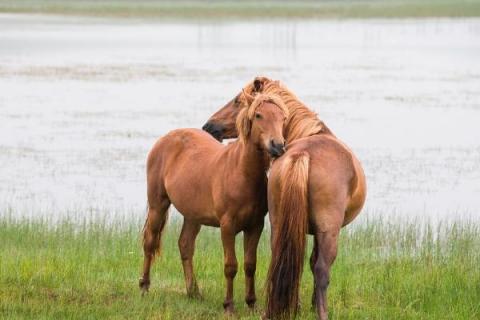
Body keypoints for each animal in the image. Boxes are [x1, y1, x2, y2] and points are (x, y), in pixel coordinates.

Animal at [139, 92, 288, 312]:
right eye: (259, 115)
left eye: (283, 118)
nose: (278, 146)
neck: (241, 172)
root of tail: (166, 138)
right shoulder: (227, 226)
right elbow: (231, 266)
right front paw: (229, 305)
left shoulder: (255, 226)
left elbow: (250, 265)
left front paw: (251, 303)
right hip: (158, 205)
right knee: (150, 242)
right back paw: (144, 286)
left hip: (192, 216)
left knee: (185, 245)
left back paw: (194, 292)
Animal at [203, 77, 368, 318]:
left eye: (237, 101)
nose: (209, 126)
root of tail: (303, 155)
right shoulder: (319, 232)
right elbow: (314, 263)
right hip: (329, 231)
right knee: (321, 269)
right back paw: (321, 312)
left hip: (280, 223)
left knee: (284, 259)